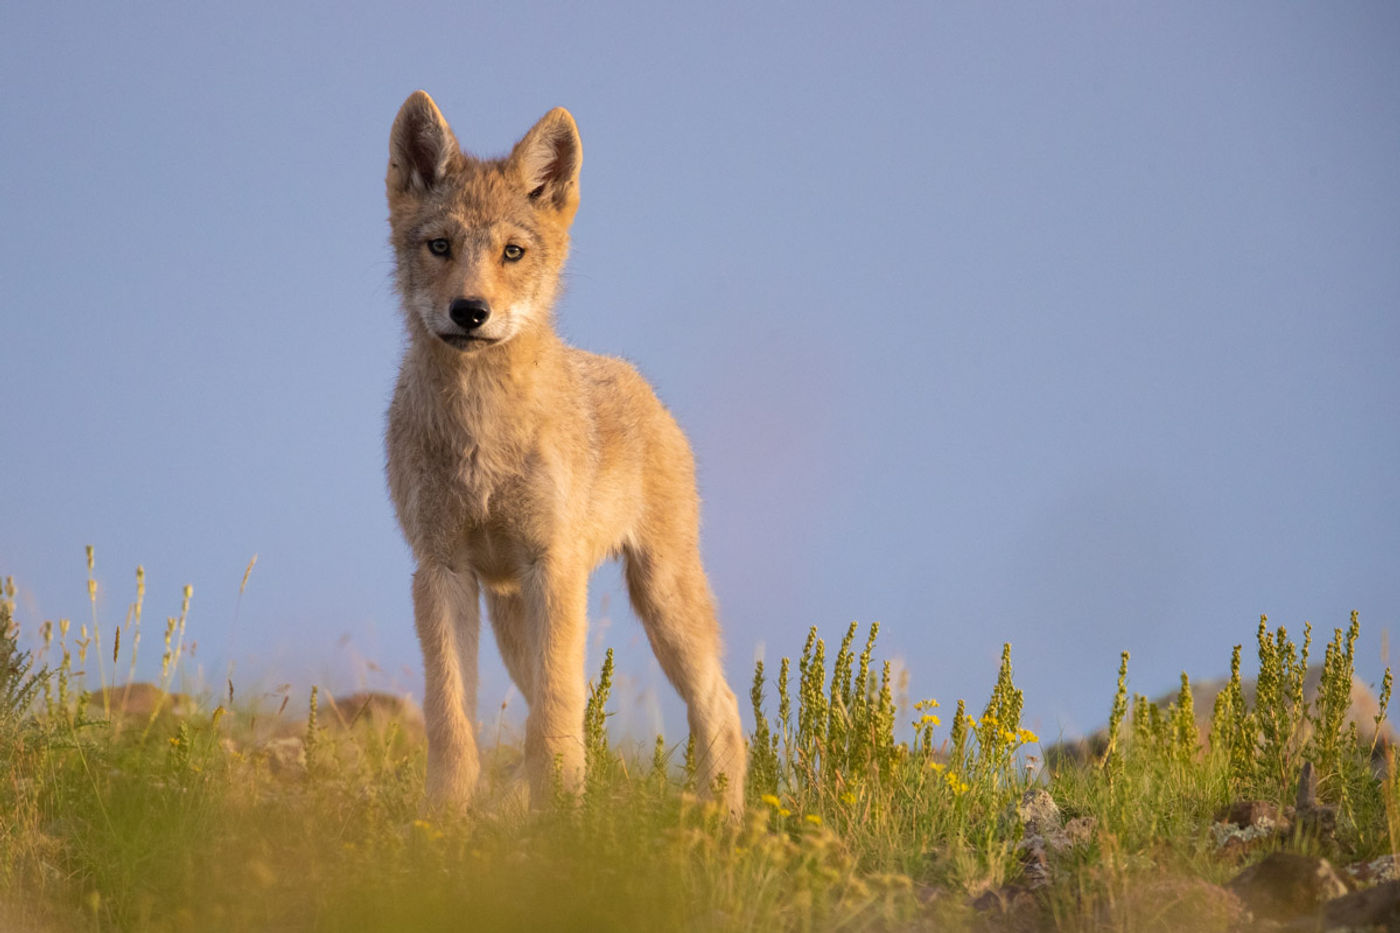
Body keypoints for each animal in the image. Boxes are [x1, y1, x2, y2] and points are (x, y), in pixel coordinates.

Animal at [383, 91, 750, 812]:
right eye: (440, 246)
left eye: (513, 251)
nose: (470, 311)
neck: (481, 430)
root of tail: (639, 381)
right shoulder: (440, 569)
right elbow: (450, 716)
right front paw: (443, 816)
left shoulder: (551, 564)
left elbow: (554, 715)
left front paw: (561, 816)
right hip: (511, 609)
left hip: (658, 597)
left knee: (720, 708)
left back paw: (720, 818)